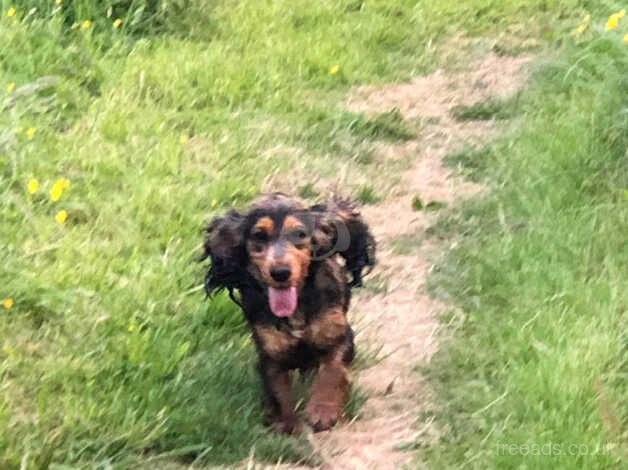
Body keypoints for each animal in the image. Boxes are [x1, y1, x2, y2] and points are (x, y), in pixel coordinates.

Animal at [204, 192, 376, 434]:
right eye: (259, 235)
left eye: (300, 234)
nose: (280, 272)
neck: (296, 307)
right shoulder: (270, 349)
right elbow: (277, 387)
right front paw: (285, 422)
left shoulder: (339, 334)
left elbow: (333, 370)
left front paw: (323, 411)